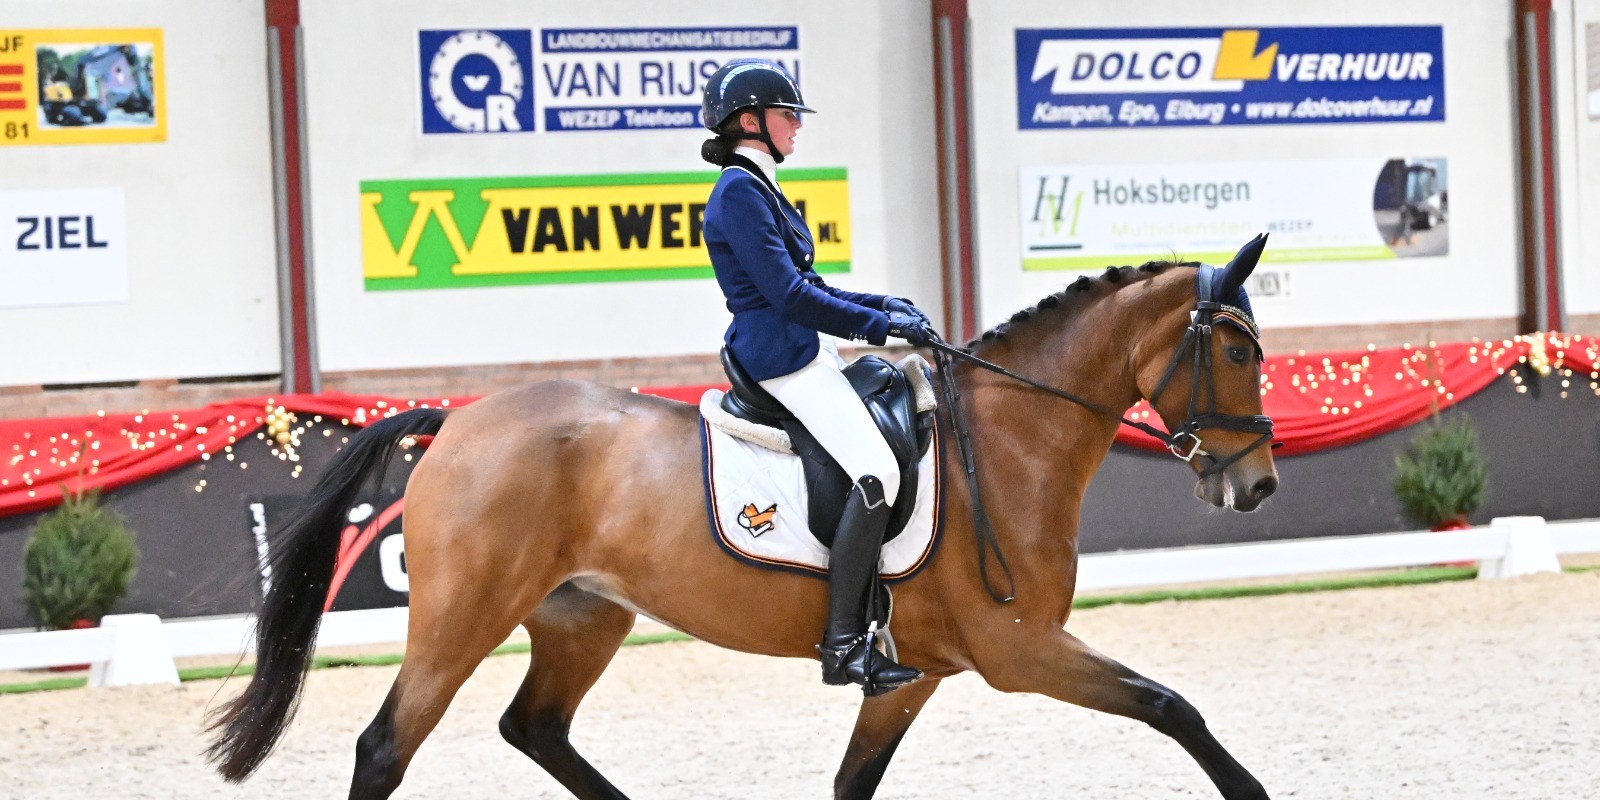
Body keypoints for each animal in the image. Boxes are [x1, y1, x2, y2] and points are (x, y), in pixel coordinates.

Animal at [206, 245, 1280, 800]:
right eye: (1234, 350)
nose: (1260, 483)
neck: (1008, 440)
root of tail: (456, 420)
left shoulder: (917, 671)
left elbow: (852, 784)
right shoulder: (1021, 648)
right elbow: (1170, 705)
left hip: (583, 615)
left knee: (535, 727)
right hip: (462, 615)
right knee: (386, 748)